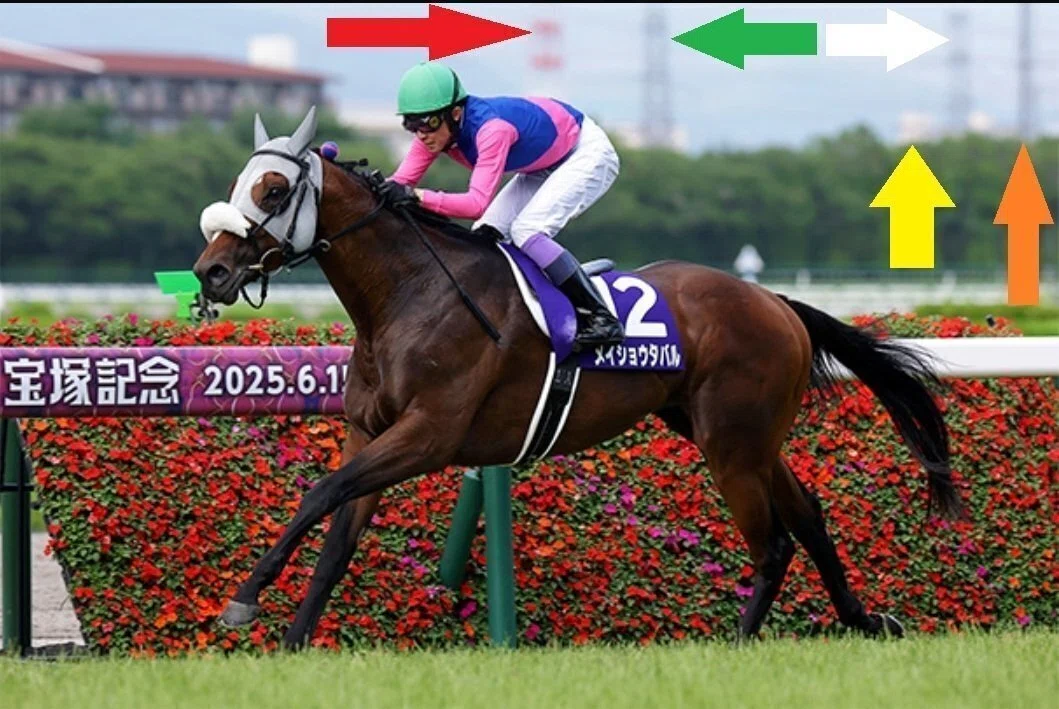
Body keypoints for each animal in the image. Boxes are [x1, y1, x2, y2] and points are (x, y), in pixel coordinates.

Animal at [192, 106, 964, 651]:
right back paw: (863, 619)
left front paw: (244, 600)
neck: (408, 294)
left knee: (772, 540)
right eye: (235, 185)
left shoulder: (428, 435)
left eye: (273, 188)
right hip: (734, 434)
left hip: (732, 442)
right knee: (807, 514)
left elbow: (320, 492)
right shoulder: (368, 433)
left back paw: (740, 643)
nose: (211, 271)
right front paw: (291, 641)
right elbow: (334, 536)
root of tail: (774, 301)